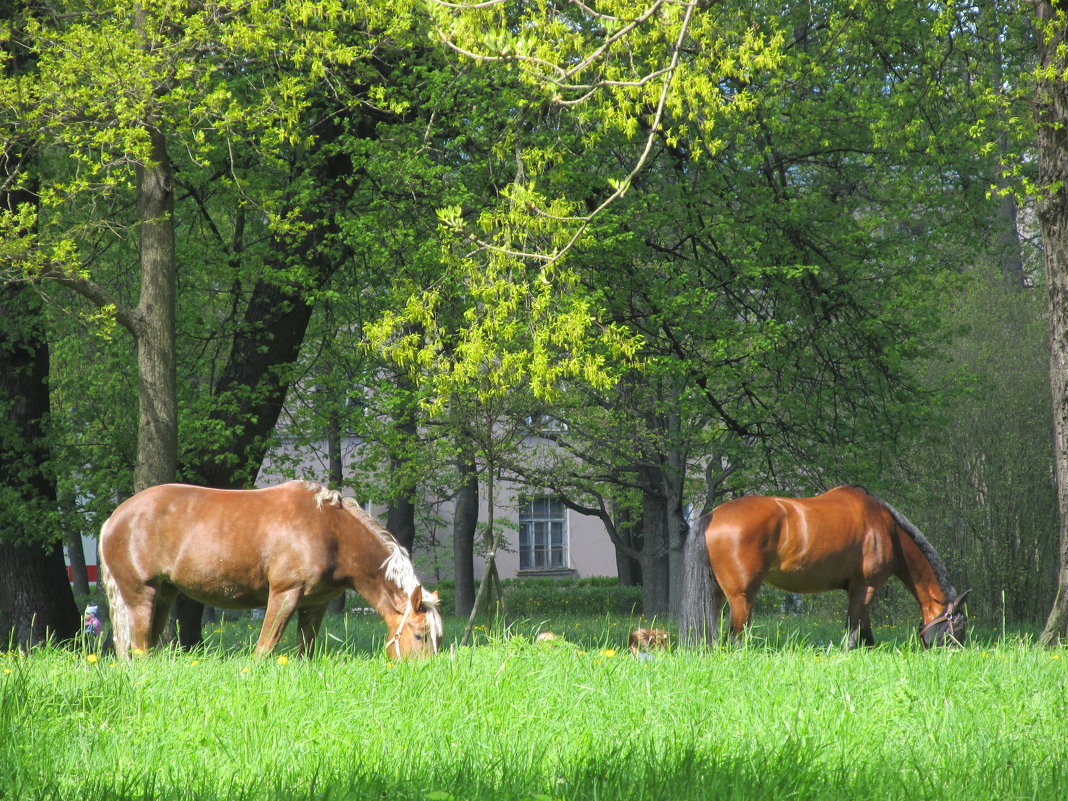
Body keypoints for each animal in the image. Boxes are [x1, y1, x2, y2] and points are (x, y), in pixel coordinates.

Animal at [100, 482, 442, 657]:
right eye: (421, 635)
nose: (424, 673)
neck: (330, 530)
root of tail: (114, 519)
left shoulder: (315, 605)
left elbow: (307, 652)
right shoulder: (284, 594)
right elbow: (264, 649)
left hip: (164, 595)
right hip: (141, 596)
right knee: (139, 650)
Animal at [679, 487, 974, 649]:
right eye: (957, 627)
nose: (957, 654)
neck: (888, 530)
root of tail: (713, 515)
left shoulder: (859, 590)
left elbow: (865, 632)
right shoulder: (866, 588)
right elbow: (854, 633)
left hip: (718, 594)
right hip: (742, 597)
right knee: (736, 638)